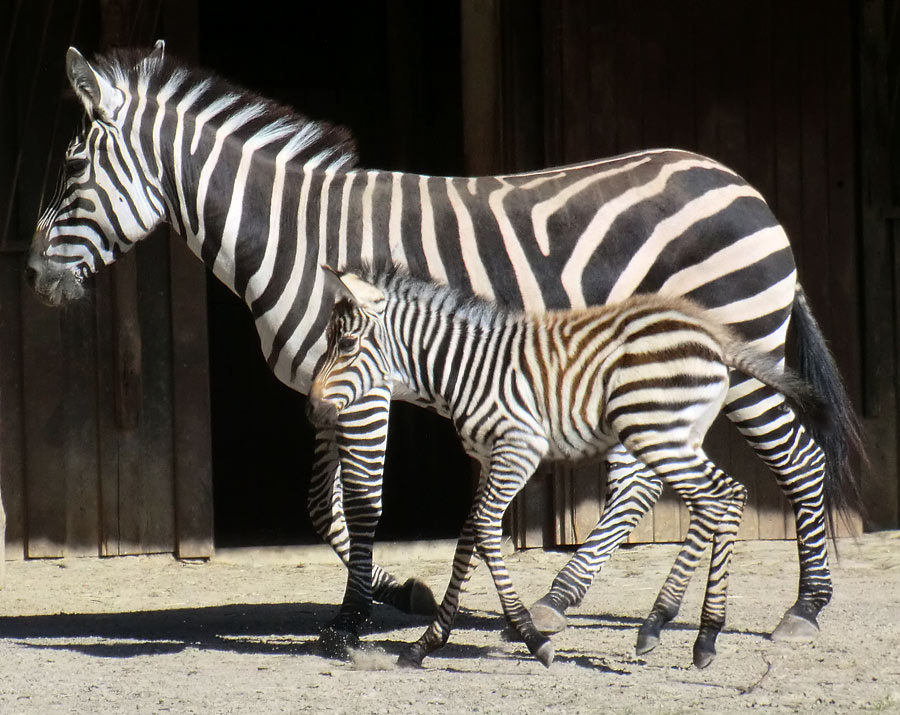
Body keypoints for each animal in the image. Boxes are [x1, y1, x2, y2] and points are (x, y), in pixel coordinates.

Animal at [307, 265, 827, 668]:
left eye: (347, 344)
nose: (313, 409)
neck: (465, 371)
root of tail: (709, 334)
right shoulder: (487, 458)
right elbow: (467, 540)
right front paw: (428, 643)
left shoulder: (518, 449)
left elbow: (485, 532)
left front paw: (532, 639)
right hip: (679, 434)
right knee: (725, 497)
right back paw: (687, 631)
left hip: (654, 432)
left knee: (719, 496)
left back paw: (682, 629)